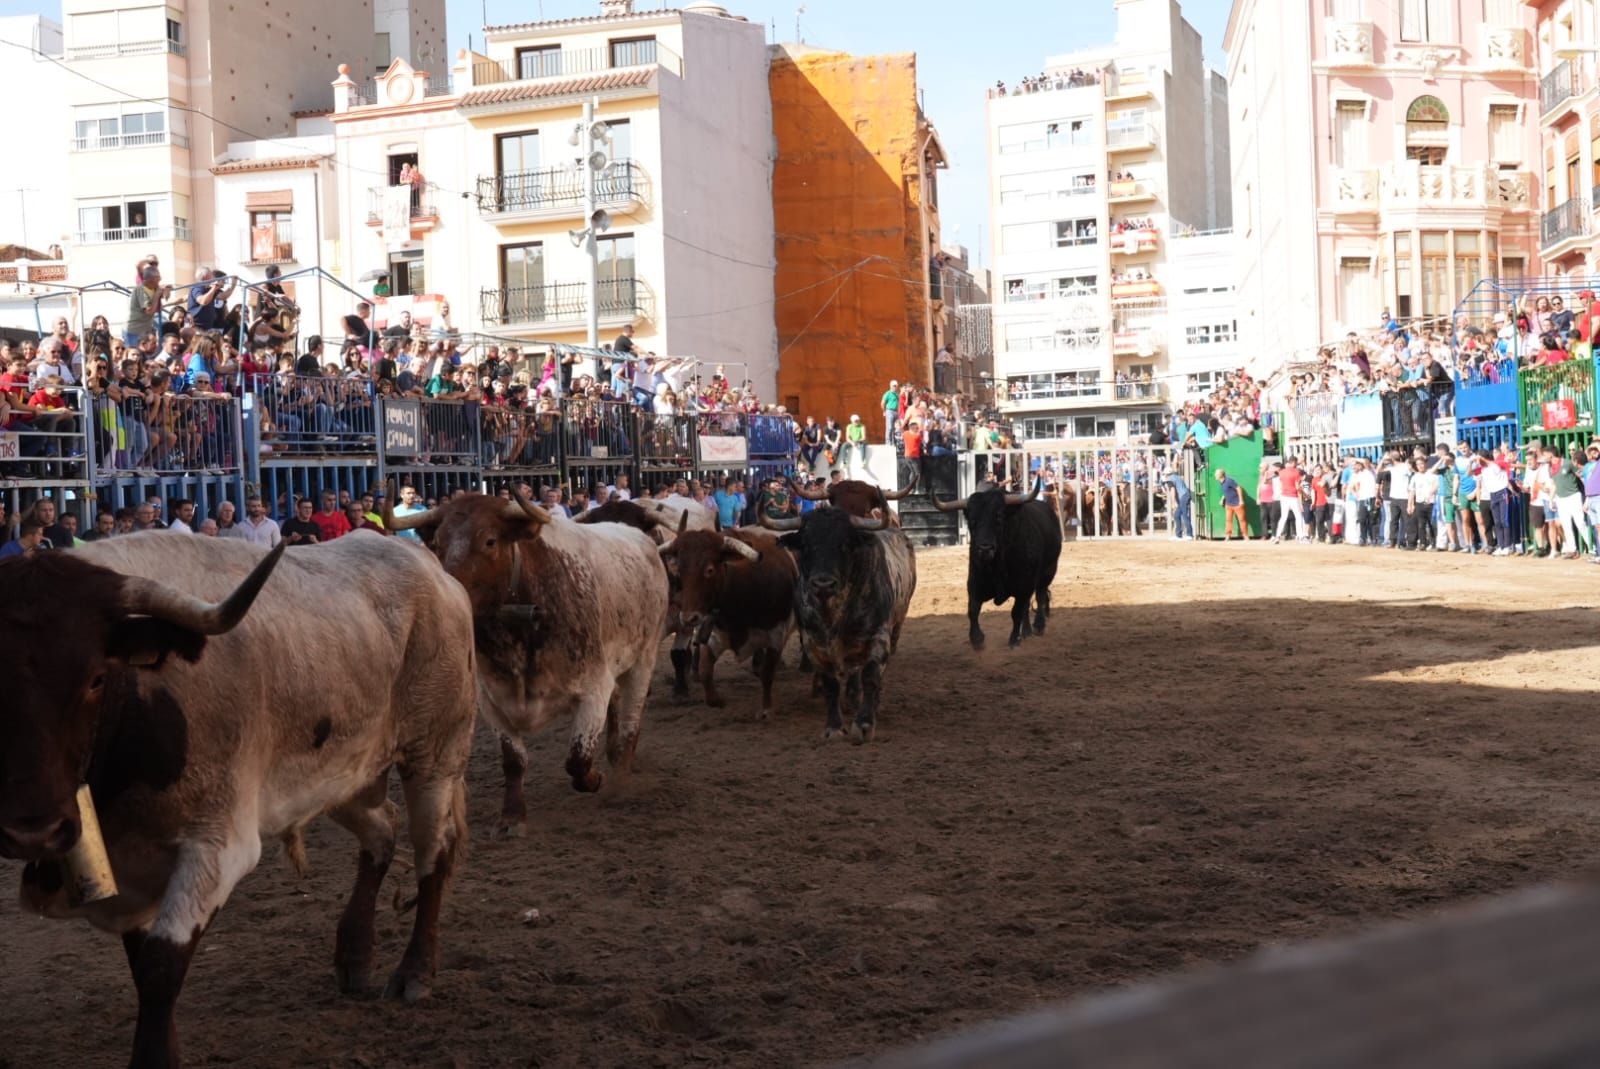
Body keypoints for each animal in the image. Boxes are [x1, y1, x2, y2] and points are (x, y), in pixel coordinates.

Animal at [0, 534, 473, 1069]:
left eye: (96, 678)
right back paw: (354, 956)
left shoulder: (217, 845)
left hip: (435, 754)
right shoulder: (131, 866)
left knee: (434, 854)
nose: (33, 831)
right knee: (382, 833)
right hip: (341, 774)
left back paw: (415, 972)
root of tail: (429, 565)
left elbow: (161, 966)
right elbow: (143, 968)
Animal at [384, 489, 665, 832]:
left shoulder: (594, 689)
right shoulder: (491, 700)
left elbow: (578, 759)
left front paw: (596, 778)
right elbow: (513, 761)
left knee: (630, 725)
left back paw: (621, 780)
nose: (447, 595)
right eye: (437, 543)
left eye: (490, 540)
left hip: (644, 659)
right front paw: (513, 815)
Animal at [652, 518, 796, 716]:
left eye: (710, 570)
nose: (689, 618)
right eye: (680, 571)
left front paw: (766, 708)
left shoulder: (777, 633)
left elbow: (768, 673)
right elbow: (705, 671)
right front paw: (718, 700)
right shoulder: (715, 634)